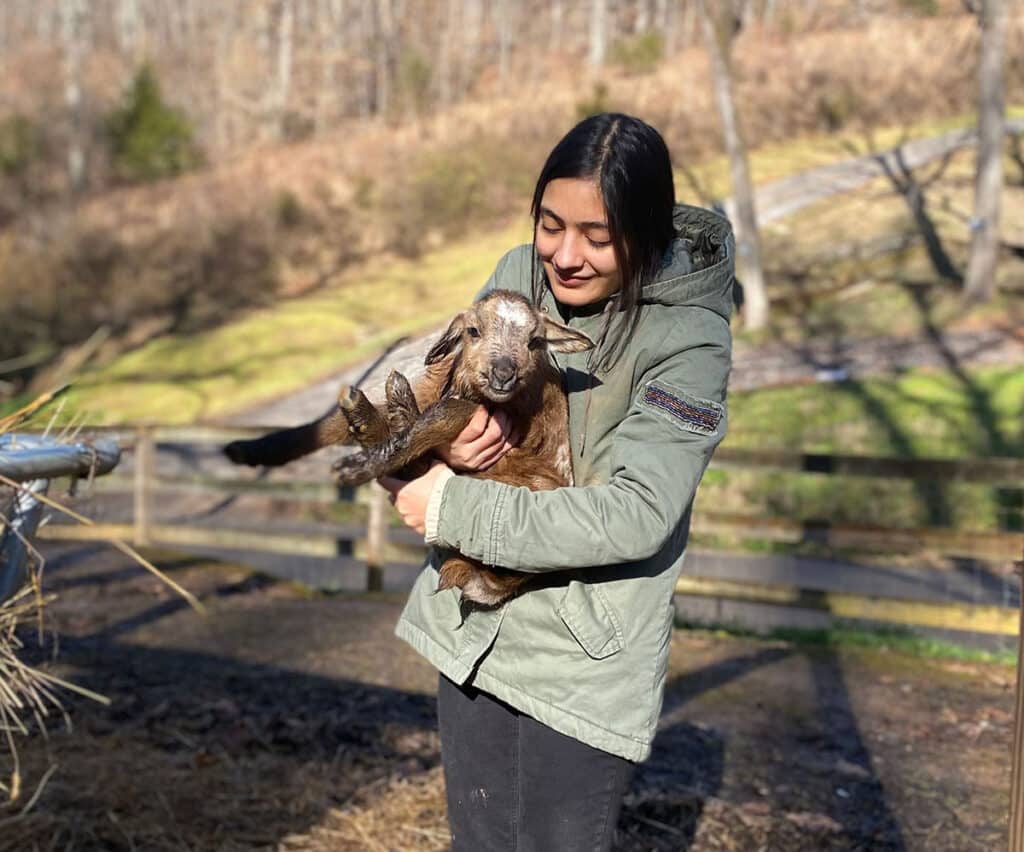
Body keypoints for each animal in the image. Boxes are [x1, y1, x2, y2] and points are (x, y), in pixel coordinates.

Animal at [224, 292, 593, 606]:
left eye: (535, 341)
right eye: (473, 331)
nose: (504, 374)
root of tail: (499, 583)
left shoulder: (496, 411)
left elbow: (433, 423)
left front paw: (359, 466)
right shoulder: (448, 394)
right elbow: (330, 426)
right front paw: (251, 450)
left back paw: (384, 414)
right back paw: (380, 409)